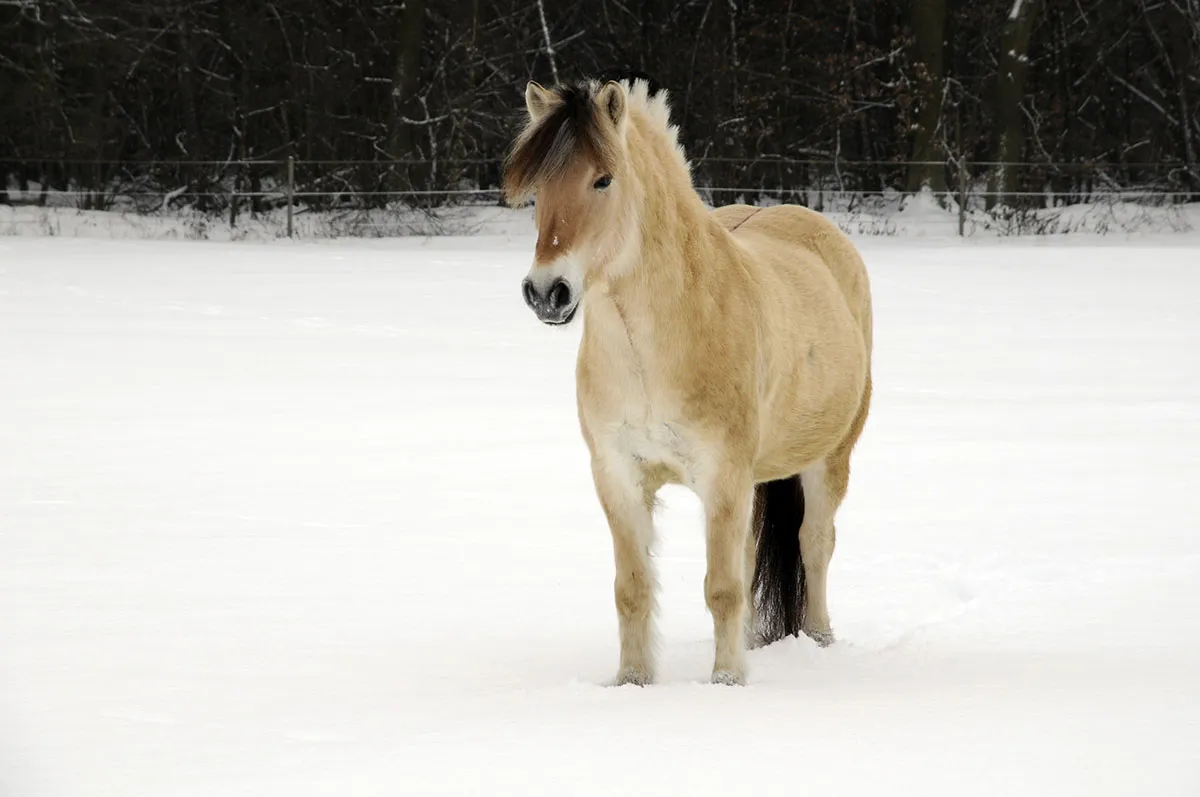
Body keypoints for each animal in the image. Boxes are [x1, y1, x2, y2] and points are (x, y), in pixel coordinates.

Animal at [502, 76, 873, 686]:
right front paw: (633, 681)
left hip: (829, 457)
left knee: (815, 544)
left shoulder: (722, 477)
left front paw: (725, 683)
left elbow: (721, 589)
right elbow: (632, 590)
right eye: (537, 189)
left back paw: (818, 640)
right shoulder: (619, 478)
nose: (545, 293)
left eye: (603, 179)